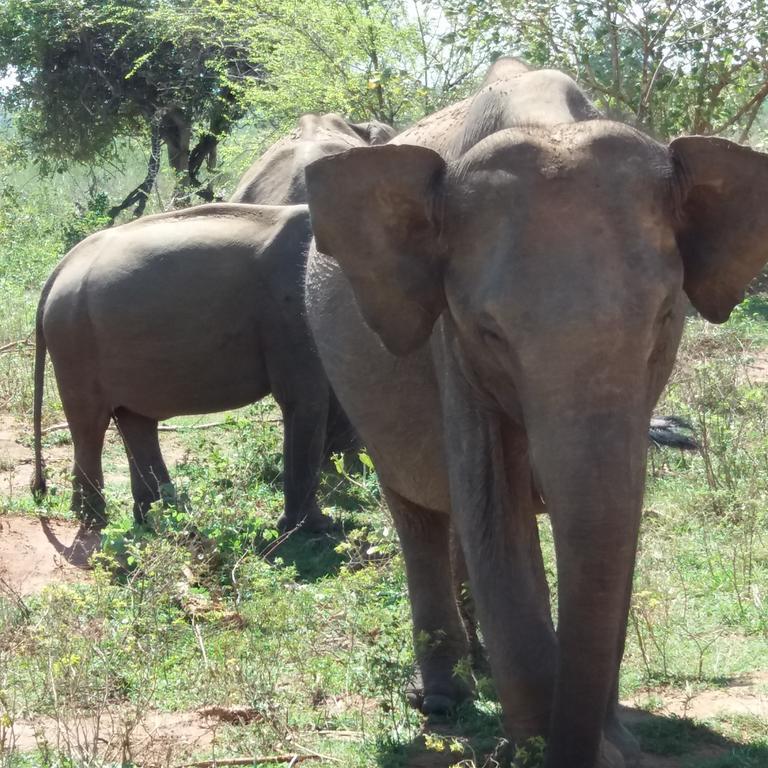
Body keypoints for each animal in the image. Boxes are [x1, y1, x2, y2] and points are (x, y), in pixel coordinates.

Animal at [32, 202, 332, 536]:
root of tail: (60, 269)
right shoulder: (292, 311)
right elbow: (306, 397)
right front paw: (316, 529)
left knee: (133, 420)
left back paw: (162, 518)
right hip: (74, 340)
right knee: (91, 426)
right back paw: (97, 519)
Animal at [306, 60, 768, 768]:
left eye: (666, 316)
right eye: (490, 332)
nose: (603, 751)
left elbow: (612, 517)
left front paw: (612, 741)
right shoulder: (449, 341)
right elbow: (497, 509)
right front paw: (537, 747)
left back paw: (479, 668)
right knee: (420, 514)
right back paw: (446, 700)